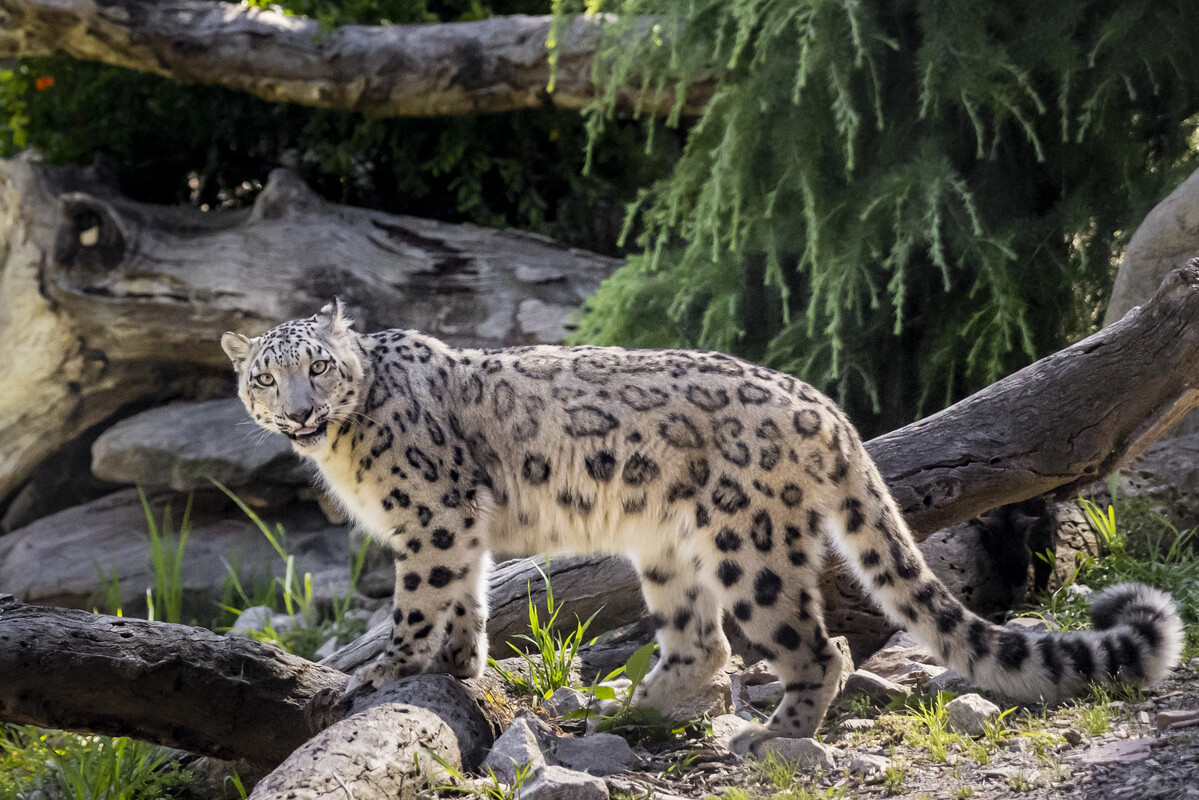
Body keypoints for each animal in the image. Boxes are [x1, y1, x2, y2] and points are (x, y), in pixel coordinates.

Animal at [222, 300, 1183, 754]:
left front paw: (382, 673)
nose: (298, 411)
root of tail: (820, 404)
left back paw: (775, 736)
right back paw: (637, 709)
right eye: (266, 378)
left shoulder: (431, 516)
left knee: (816, 646)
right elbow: (465, 602)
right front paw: (459, 669)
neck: (347, 451)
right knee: (704, 643)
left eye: (317, 366)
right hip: (666, 549)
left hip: (747, 549)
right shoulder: (455, 528)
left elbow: (421, 600)